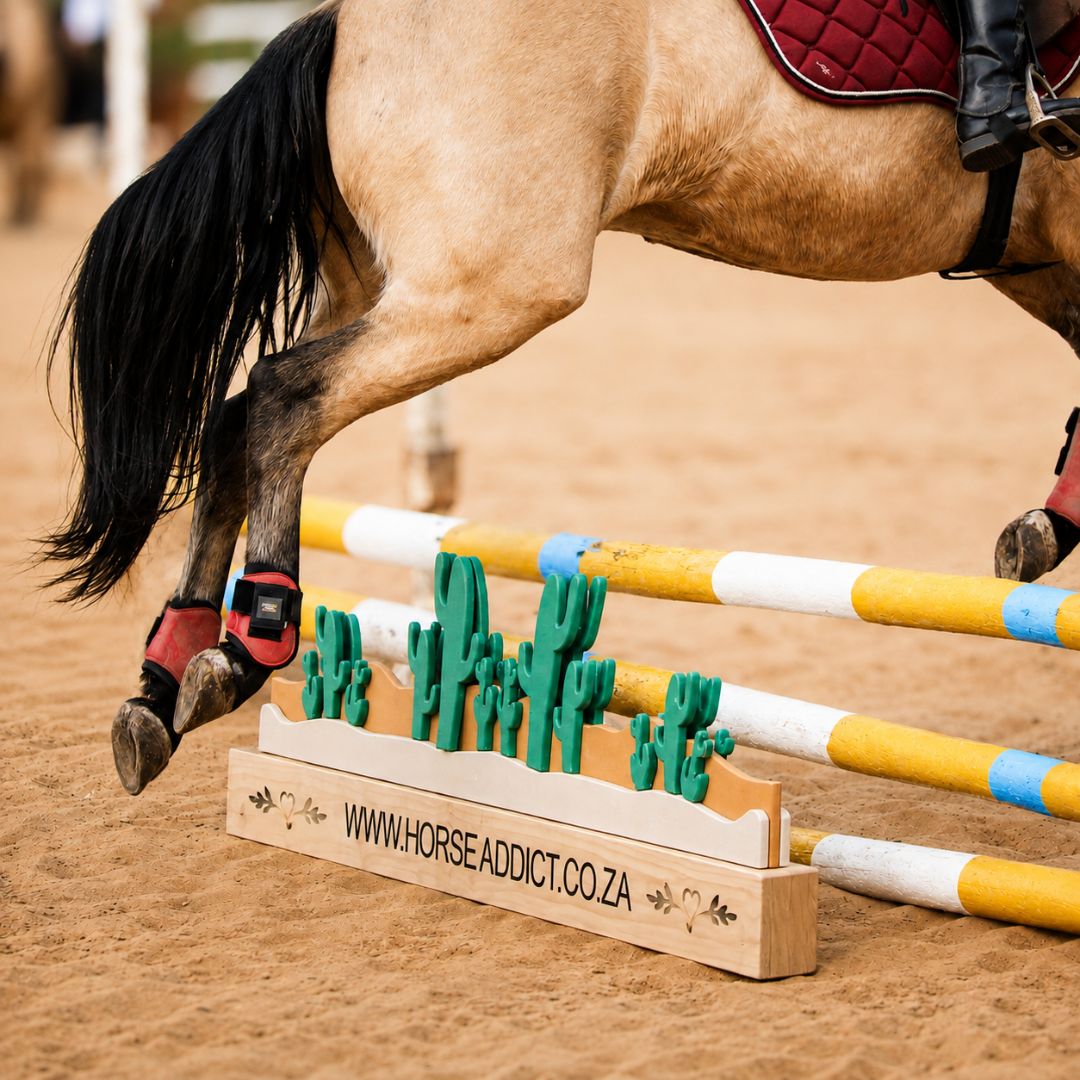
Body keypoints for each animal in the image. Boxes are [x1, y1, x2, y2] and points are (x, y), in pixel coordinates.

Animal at [43, 0, 1080, 794]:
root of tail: (341, 23)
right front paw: (1051, 525)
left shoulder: (1038, 256)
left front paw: (1047, 526)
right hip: (485, 289)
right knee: (283, 399)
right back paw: (247, 642)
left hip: (385, 282)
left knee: (232, 421)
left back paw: (166, 681)